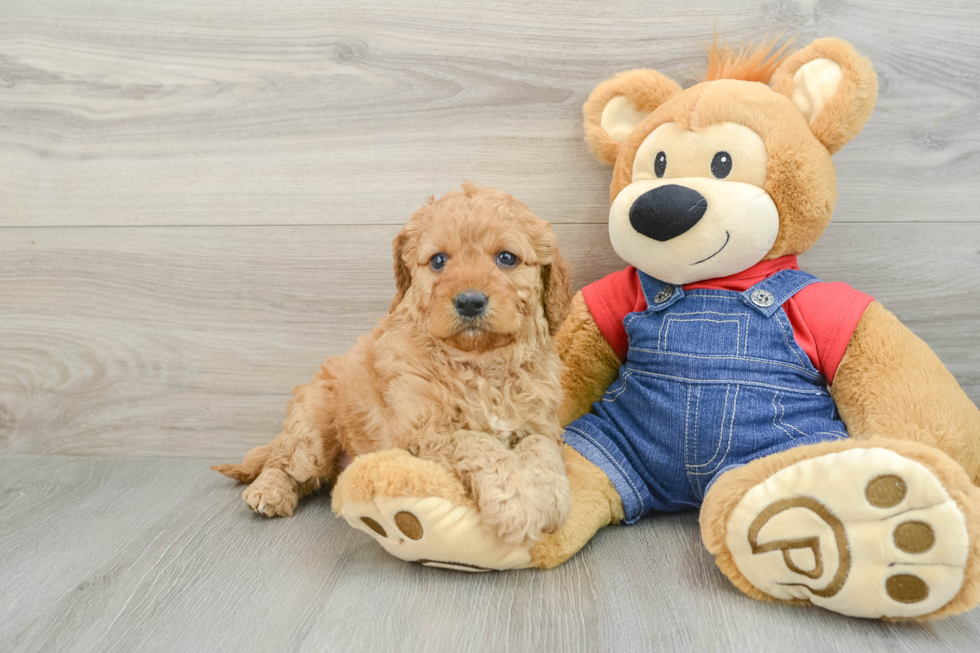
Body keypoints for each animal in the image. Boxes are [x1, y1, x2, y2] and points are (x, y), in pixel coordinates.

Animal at [214, 183, 576, 544]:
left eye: (506, 258)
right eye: (439, 260)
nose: (470, 302)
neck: (480, 363)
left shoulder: (540, 423)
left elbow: (541, 447)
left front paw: (551, 497)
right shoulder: (420, 434)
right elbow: (477, 442)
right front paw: (518, 503)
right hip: (312, 429)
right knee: (285, 463)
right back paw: (269, 492)